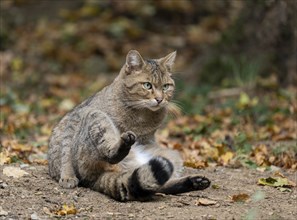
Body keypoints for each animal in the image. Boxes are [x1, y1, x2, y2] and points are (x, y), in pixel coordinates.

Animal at [47, 49, 209, 201]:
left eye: (165, 86)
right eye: (147, 85)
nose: (159, 99)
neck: (141, 115)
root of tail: (94, 179)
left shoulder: (148, 139)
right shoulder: (76, 118)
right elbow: (66, 150)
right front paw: (68, 176)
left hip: (170, 156)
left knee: (151, 184)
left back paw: (194, 182)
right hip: (95, 118)